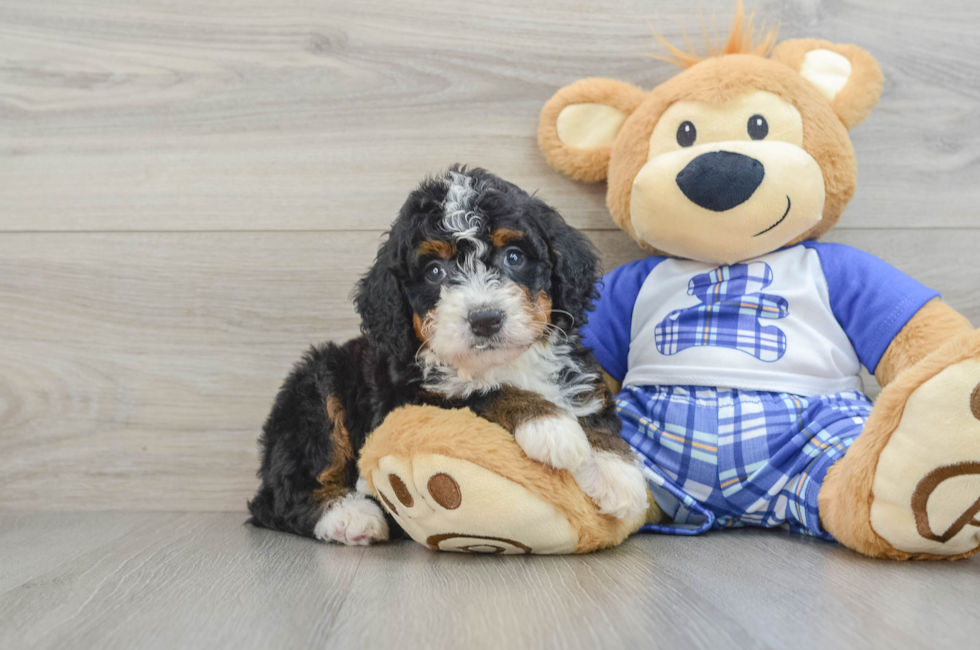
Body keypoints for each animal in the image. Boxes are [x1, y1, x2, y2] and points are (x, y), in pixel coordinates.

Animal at [249, 166, 652, 540]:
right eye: (434, 271)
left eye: (514, 257)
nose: (485, 319)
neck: (501, 363)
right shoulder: (410, 398)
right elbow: (482, 391)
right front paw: (550, 424)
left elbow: (591, 399)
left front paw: (618, 472)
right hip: (317, 386)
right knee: (284, 494)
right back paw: (350, 516)